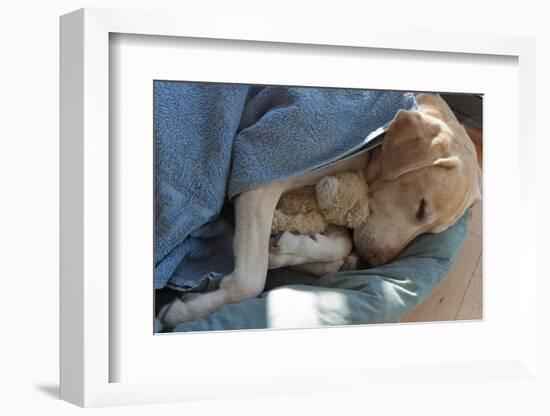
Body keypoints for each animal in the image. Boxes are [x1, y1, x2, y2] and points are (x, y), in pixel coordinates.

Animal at [163, 93, 484, 324]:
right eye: (421, 208)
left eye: (429, 231)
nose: (371, 264)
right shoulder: (260, 176)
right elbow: (251, 280)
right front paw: (185, 311)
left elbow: (339, 245)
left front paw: (291, 248)